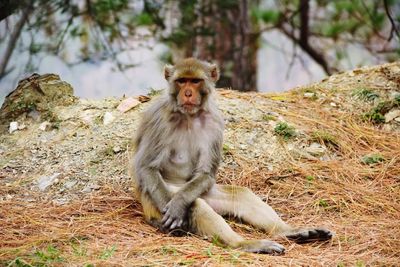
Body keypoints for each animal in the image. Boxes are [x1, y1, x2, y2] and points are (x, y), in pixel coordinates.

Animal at [130, 58, 332, 255]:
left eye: (195, 81)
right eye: (181, 81)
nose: (187, 93)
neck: (188, 115)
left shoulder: (214, 121)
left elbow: (206, 174)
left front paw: (179, 204)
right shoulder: (159, 118)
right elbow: (147, 167)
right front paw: (174, 208)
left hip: (200, 191)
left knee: (240, 195)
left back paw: (288, 231)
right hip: (153, 204)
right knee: (197, 205)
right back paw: (243, 244)